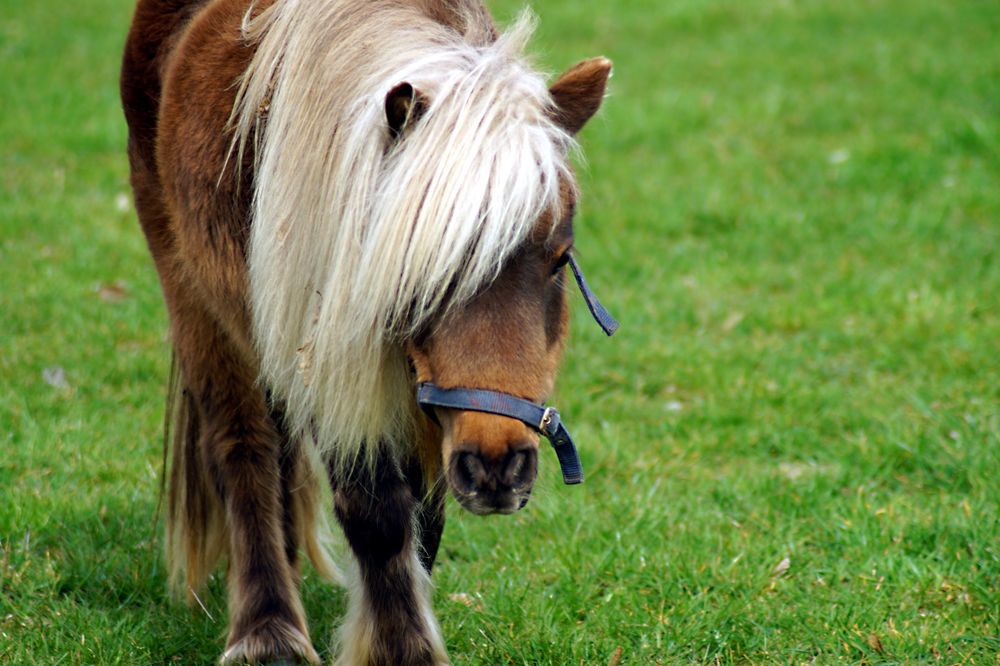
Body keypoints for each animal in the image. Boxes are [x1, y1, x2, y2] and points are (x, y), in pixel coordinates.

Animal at [121, 0, 612, 660]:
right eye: (419, 270)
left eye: (560, 260)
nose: (498, 467)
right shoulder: (333, 363)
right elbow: (375, 511)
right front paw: (402, 650)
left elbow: (424, 515)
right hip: (194, 297)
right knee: (244, 449)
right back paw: (268, 631)